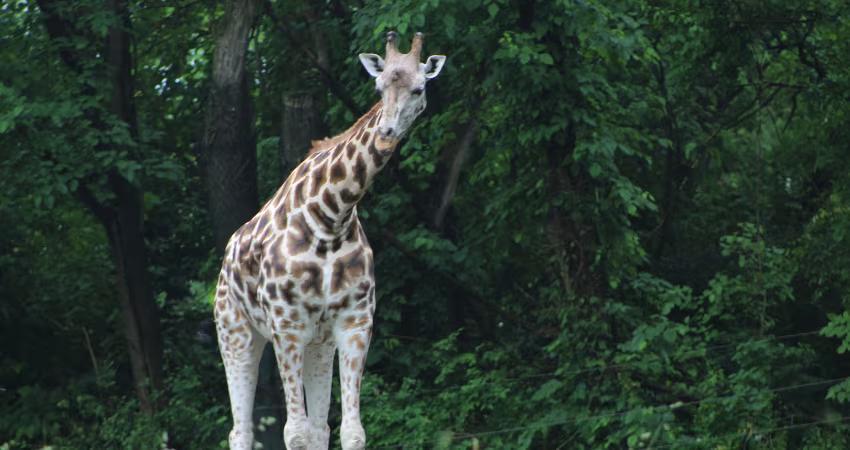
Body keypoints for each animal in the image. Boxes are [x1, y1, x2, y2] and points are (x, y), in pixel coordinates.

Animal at [214, 31, 446, 450]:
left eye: (419, 88)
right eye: (379, 85)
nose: (386, 134)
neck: (331, 217)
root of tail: (226, 258)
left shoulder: (354, 323)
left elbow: (349, 431)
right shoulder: (287, 327)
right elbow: (294, 432)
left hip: (318, 344)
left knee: (319, 426)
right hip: (237, 334)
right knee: (241, 430)